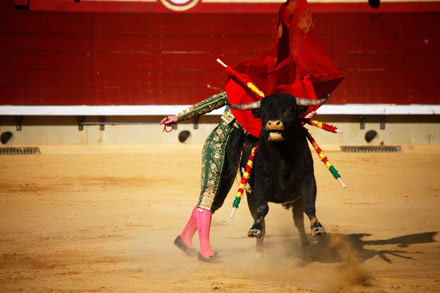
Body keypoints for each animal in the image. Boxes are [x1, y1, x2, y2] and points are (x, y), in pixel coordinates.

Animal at [230, 93, 326, 251]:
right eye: (263, 109)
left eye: (290, 108)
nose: (274, 123)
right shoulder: (259, 185)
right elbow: (262, 209)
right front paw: (254, 229)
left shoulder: (308, 180)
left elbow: (309, 205)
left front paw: (317, 227)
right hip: (250, 196)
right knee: (263, 224)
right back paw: (258, 251)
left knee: (298, 221)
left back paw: (305, 246)